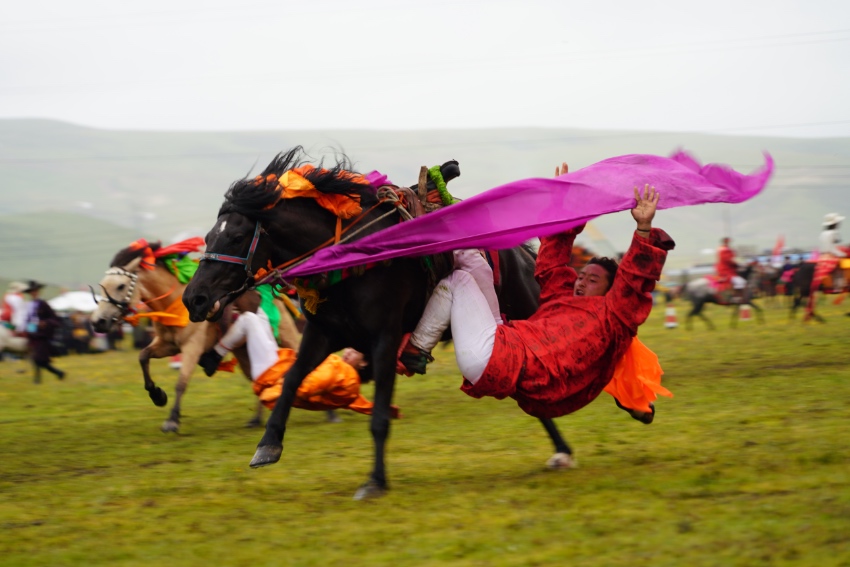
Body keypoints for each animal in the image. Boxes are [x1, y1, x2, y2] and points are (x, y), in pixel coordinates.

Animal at [89, 239, 300, 430]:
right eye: (102, 284)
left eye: (120, 286)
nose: (98, 321)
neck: (174, 306)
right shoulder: (167, 345)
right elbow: (143, 356)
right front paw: (157, 395)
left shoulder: (193, 347)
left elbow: (181, 382)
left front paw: (172, 420)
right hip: (243, 350)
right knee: (256, 376)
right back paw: (256, 419)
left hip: (285, 335)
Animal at [182, 149, 572, 500]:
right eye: (208, 237)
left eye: (236, 237)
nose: (193, 298)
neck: (349, 257)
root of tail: (522, 255)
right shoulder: (324, 334)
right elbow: (291, 380)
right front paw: (268, 444)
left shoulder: (383, 338)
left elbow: (380, 416)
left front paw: (375, 480)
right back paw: (561, 447)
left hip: (524, 311)